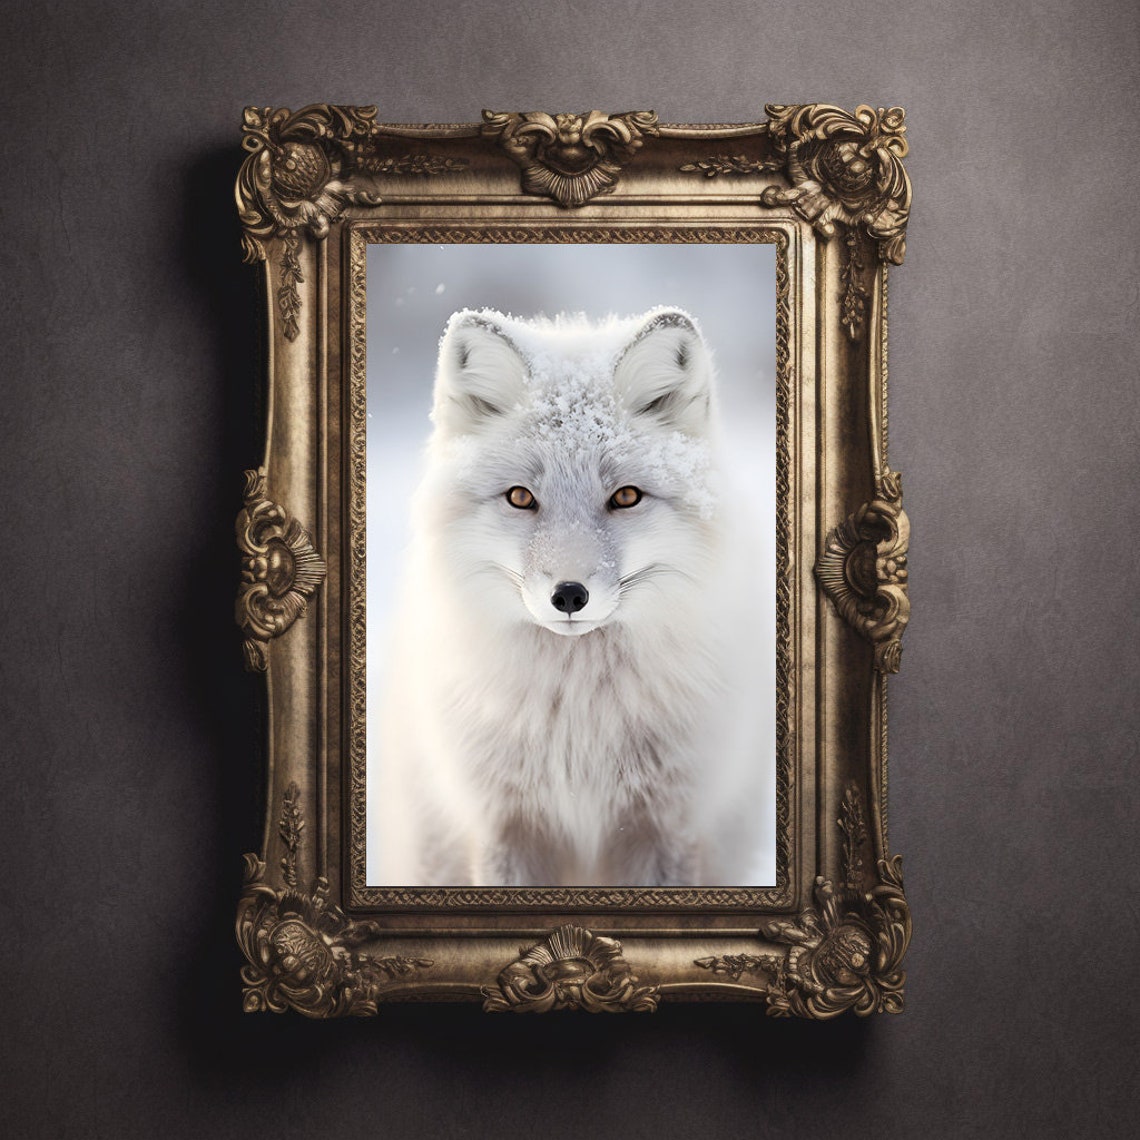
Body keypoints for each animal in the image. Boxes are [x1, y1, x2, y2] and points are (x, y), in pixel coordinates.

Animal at [373, 306, 773, 887]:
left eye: (625, 496)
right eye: (521, 497)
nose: (569, 596)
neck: (578, 725)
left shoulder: (665, 825)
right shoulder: (505, 826)